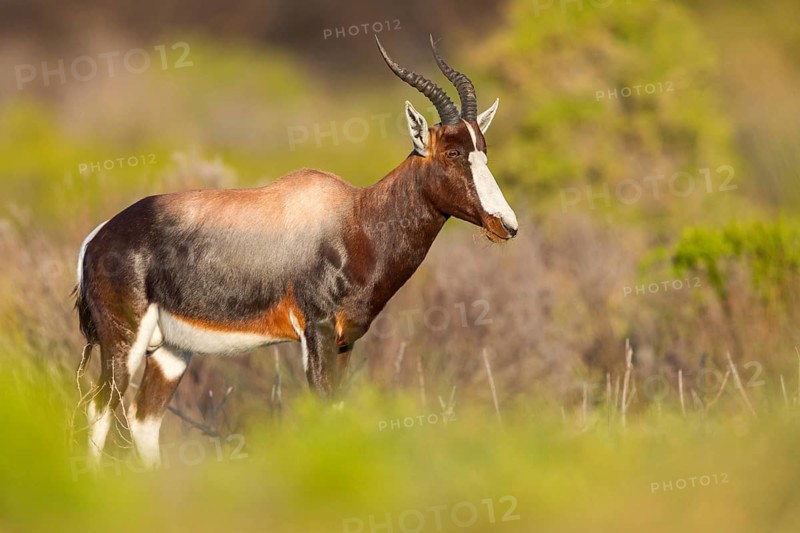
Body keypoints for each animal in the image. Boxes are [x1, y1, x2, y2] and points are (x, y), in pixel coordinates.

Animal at [75, 36, 518, 467]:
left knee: (142, 419)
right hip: (123, 342)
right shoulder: (316, 332)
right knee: (98, 410)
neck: (354, 217)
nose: (506, 225)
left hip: (171, 350)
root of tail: (97, 237)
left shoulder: (344, 341)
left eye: (483, 149)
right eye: (452, 153)